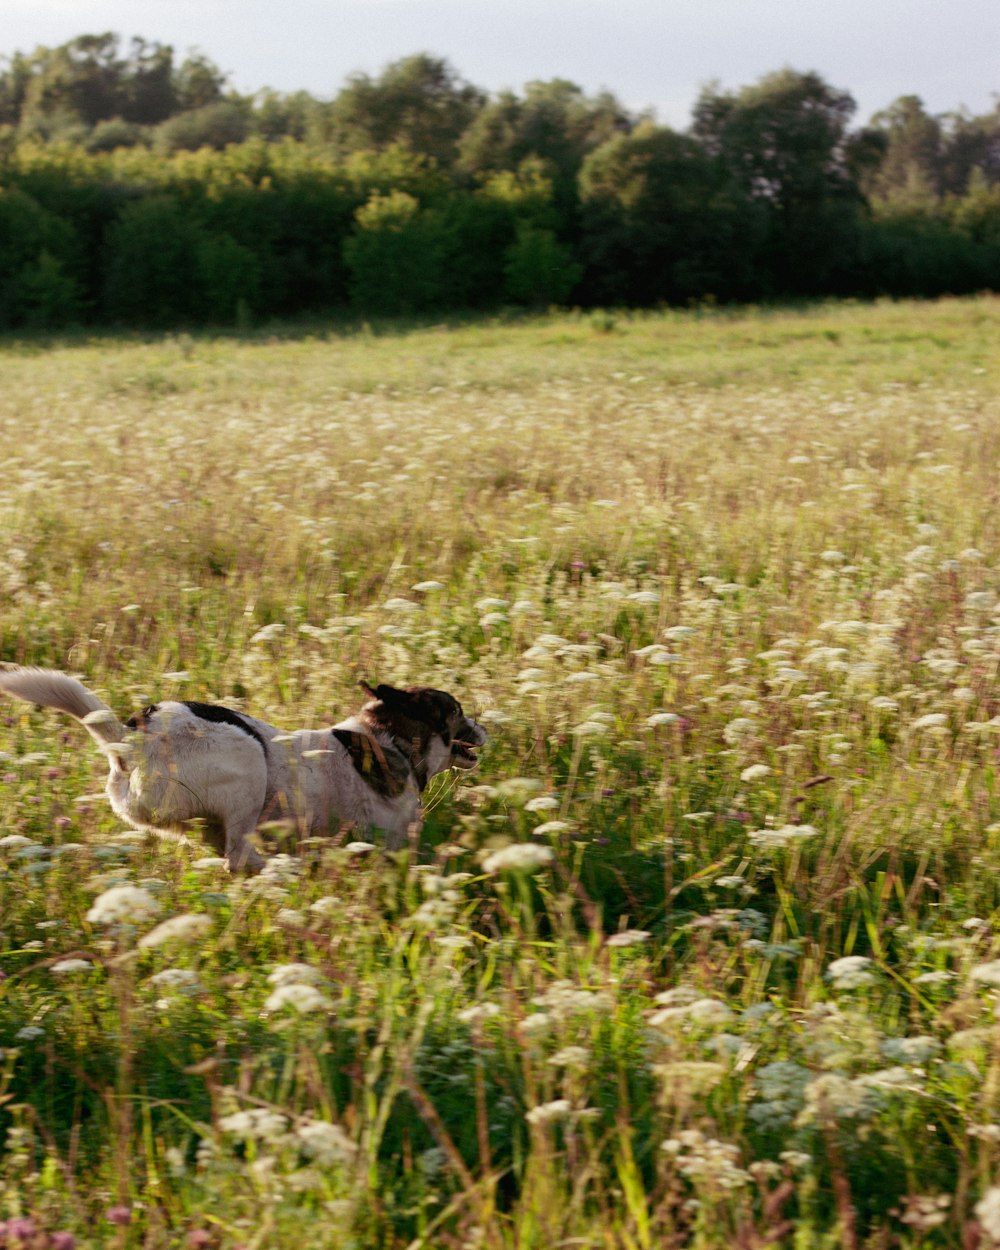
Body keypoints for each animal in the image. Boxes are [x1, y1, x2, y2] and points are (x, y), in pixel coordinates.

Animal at [0, 670, 487, 875]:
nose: (484, 727)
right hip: (249, 761)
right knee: (238, 855)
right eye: (457, 710)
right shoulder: (391, 839)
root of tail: (131, 740)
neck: (387, 738)